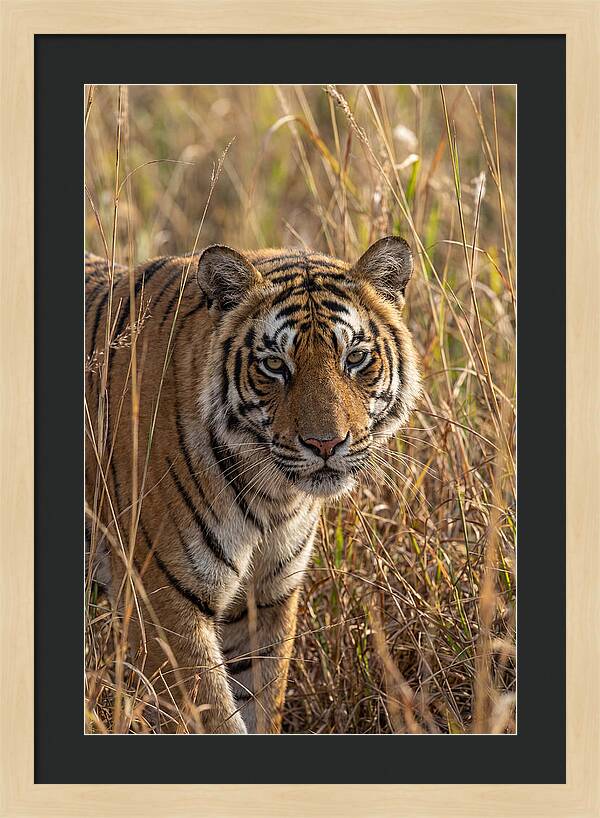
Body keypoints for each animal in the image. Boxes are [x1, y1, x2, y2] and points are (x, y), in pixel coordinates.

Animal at [85, 236, 421, 734]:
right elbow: (213, 716)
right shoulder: (163, 602)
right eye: (275, 365)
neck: (273, 497)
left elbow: (261, 700)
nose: (326, 443)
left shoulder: (266, 597)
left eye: (356, 358)